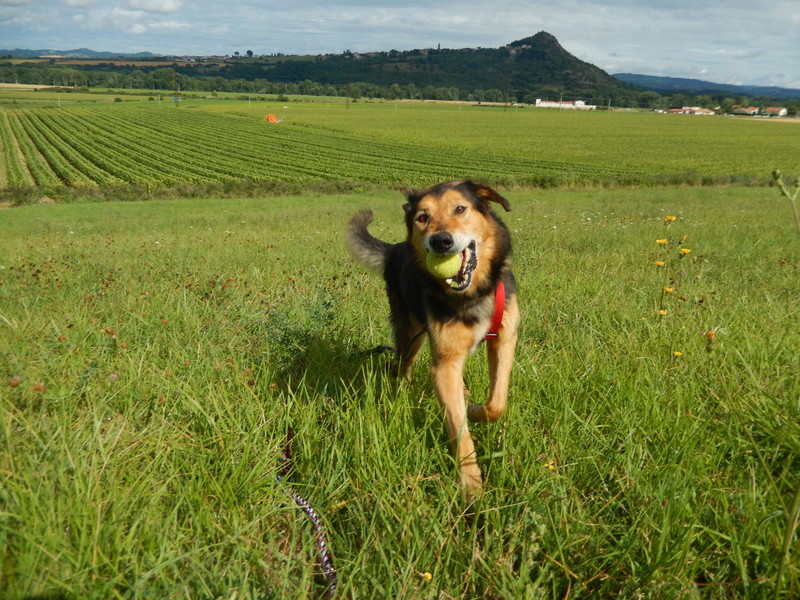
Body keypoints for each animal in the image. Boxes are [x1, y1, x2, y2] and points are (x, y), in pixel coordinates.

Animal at [346, 179, 520, 502]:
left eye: (460, 209)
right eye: (422, 218)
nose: (441, 242)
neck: (470, 295)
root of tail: (395, 250)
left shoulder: (504, 339)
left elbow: (496, 402)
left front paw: (476, 411)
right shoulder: (444, 364)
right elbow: (459, 431)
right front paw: (471, 486)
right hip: (410, 336)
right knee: (401, 367)